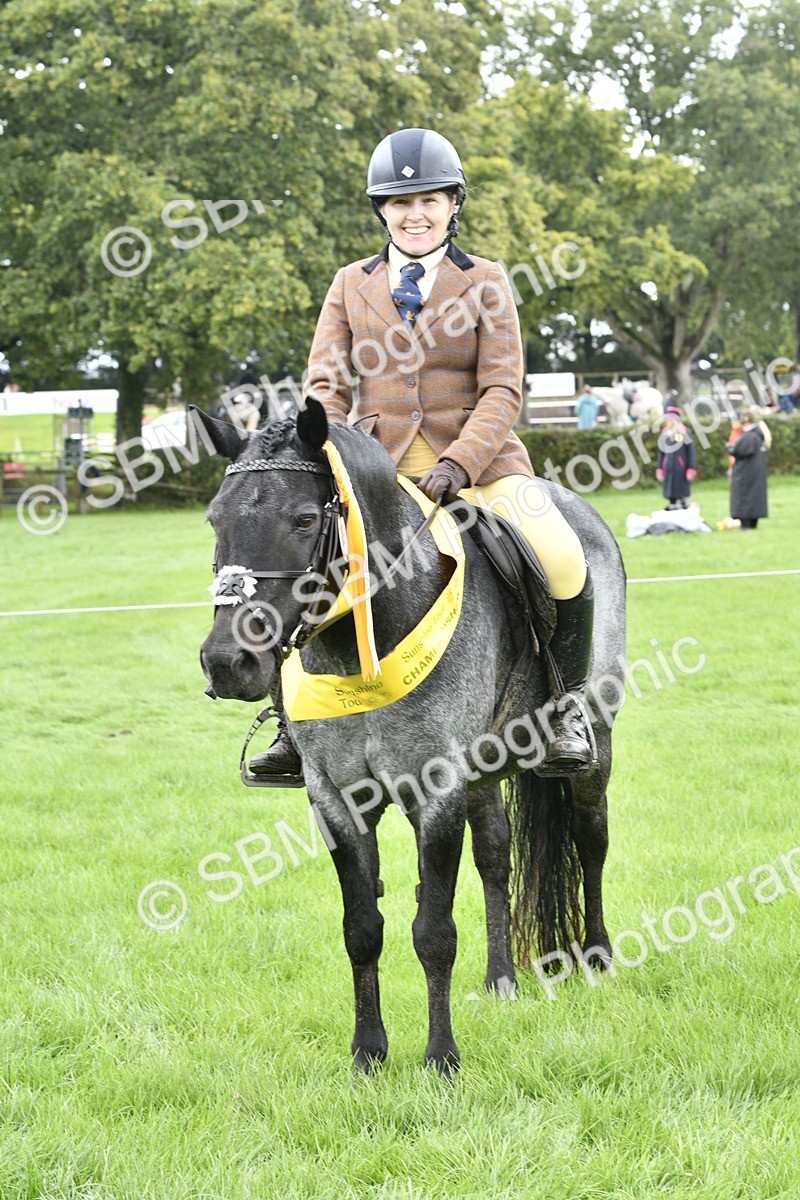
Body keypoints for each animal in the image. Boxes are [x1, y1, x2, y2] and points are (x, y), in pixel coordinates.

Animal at [195, 399, 627, 1076]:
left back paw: (599, 959)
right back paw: (501, 980)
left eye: (302, 520)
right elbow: (362, 928)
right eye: (215, 519)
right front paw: (368, 1053)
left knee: (591, 838)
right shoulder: (337, 799)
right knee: (496, 857)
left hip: (595, 739)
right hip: (484, 770)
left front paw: (441, 1057)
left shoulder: (438, 791)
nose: (226, 662)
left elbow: (434, 931)